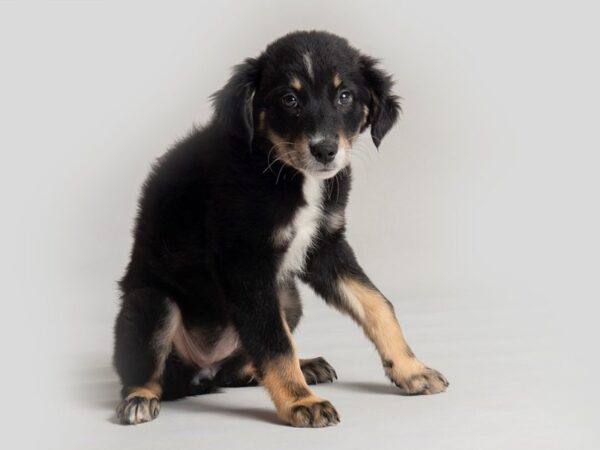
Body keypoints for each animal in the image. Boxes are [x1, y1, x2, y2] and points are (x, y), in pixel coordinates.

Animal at [115, 29, 448, 428]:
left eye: (345, 96)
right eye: (289, 99)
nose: (325, 150)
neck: (287, 171)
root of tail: (203, 375)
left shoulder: (326, 245)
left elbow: (376, 303)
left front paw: (412, 370)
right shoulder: (245, 262)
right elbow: (274, 342)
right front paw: (301, 402)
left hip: (287, 296)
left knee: (241, 367)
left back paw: (307, 366)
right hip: (152, 303)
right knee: (152, 374)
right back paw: (139, 398)